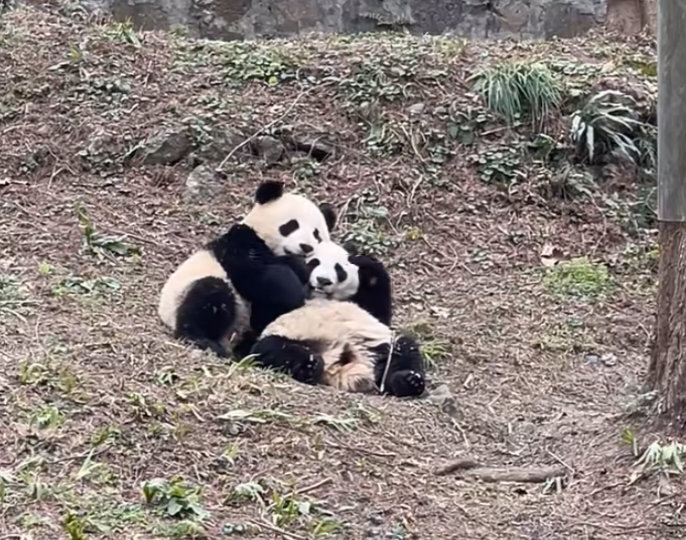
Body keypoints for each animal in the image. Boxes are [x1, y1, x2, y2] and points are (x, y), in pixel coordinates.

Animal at [157, 180, 338, 358]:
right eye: (291, 225)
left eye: (316, 234)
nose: (306, 247)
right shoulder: (239, 243)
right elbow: (256, 276)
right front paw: (294, 291)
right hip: (186, 295)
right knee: (208, 296)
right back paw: (204, 340)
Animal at [250, 240, 428, 396]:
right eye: (314, 262)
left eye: (338, 269)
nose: (323, 281)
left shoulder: (365, 305)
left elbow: (380, 308)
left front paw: (365, 264)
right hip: (288, 337)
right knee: (271, 348)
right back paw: (310, 363)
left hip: (377, 342)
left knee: (403, 349)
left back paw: (408, 381)